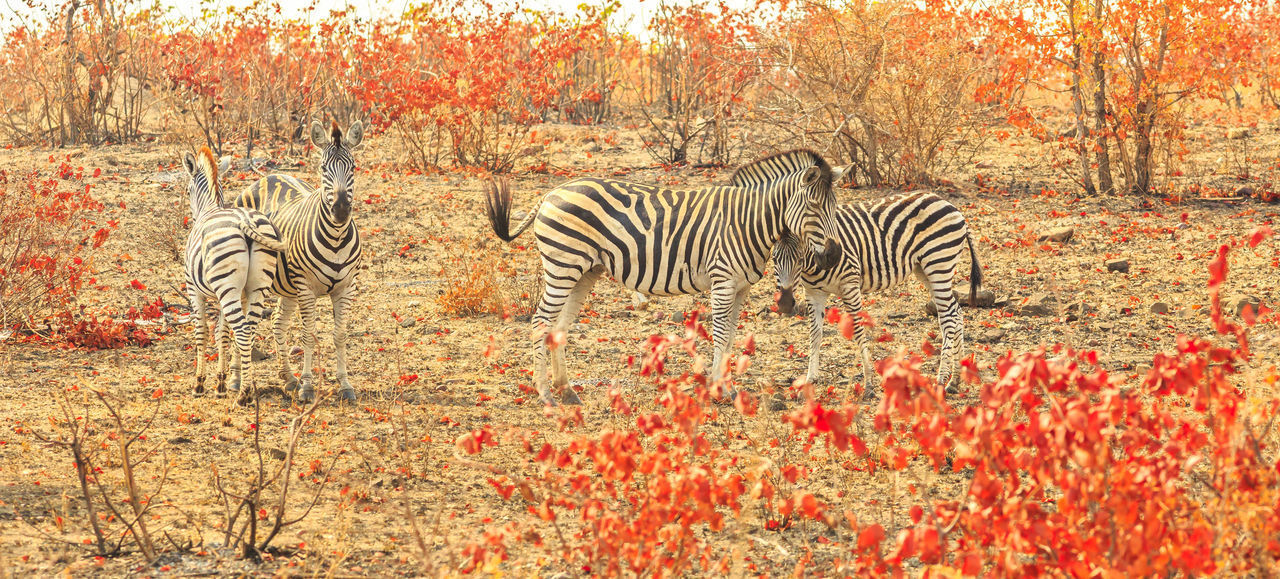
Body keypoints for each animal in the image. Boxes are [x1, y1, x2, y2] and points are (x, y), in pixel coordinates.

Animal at [181, 147, 286, 399]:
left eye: (188, 190)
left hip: (226, 286)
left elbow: (202, 332)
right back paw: (244, 389)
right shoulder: (235, 294)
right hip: (256, 287)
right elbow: (222, 333)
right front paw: (220, 382)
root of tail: (245, 221)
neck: (210, 208)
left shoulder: (193, 290)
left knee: (242, 330)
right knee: (248, 330)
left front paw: (199, 384)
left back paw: (244, 395)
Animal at [231, 120, 366, 404]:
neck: (336, 238)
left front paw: (345, 385)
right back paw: (236, 380)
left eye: (353, 167)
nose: (340, 210)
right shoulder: (306, 287)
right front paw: (308, 387)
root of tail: (268, 176)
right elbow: (307, 336)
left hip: (287, 287)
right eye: (323, 168)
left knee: (277, 323)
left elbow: (340, 335)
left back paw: (288, 378)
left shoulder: (346, 287)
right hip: (248, 281)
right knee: (237, 326)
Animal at [483, 147, 844, 404]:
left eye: (834, 206)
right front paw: (718, 390)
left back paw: (567, 390)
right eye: (814, 207)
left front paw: (726, 388)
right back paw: (545, 394)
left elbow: (730, 337)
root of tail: (550, 193)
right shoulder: (722, 281)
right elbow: (721, 335)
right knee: (540, 322)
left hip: (584, 271)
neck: (745, 221)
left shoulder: (740, 288)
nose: (834, 254)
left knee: (558, 326)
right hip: (562, 266)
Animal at [762, 192, 983, 391]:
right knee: (956, 312)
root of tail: (952, 207)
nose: (784, 303)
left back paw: (941, 379)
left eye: (799, 259)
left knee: (948, 318)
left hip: (938, 264)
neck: (814, 262)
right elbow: (815, 335)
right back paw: (955, 380)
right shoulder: (814, 293)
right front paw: (810, 379)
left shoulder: (850, 285)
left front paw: (868, 382)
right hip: (925, 270)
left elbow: (859, 331)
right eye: (774, 259)